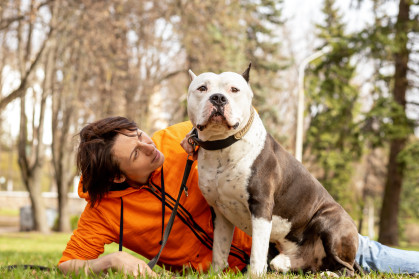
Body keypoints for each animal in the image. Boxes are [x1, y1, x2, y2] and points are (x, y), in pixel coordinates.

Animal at [186, 64, 358, 276]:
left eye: (234, 89)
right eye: (202, 88)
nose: (218, 98)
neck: (222, 146)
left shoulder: (261, 207)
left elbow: (257, 252)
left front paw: (254, 275)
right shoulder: (220, 213)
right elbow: (219, 249)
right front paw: (215, 274)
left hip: (330, 223)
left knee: (347, 268)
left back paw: (330, 274)